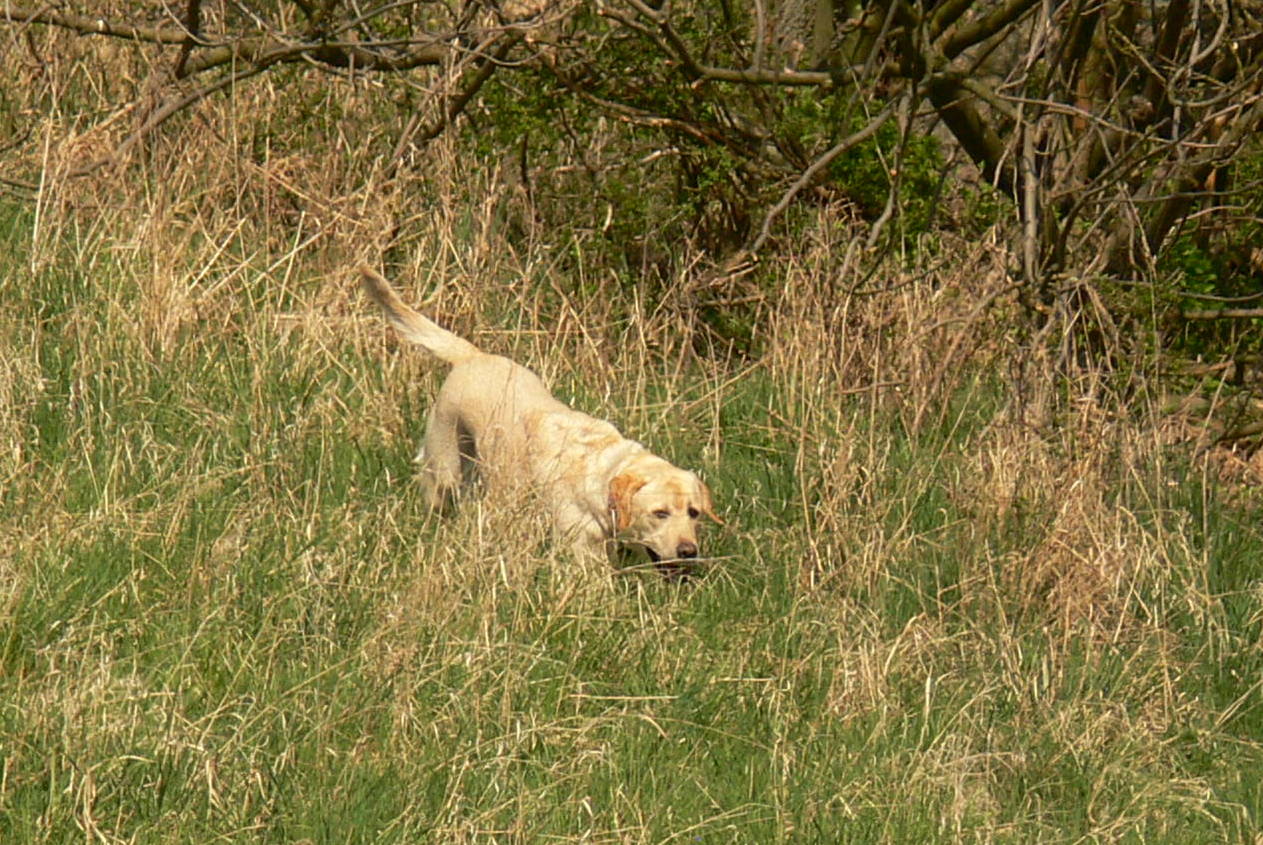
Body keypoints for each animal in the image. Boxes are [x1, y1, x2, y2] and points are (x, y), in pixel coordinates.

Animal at [366, 266, 722, 575]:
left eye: (693, 512)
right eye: (659, 513)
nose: (689, 551)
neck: (601, 472)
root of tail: (473, 356)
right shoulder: (581, 551)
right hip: (443, 474)